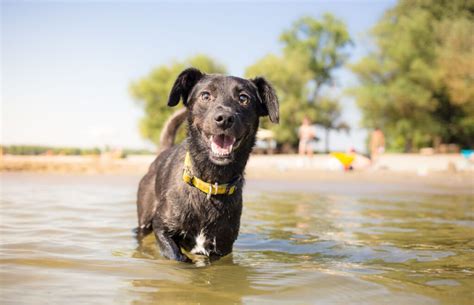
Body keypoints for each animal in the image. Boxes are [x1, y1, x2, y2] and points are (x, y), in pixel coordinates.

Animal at [136, 68, 278, 262]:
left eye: (244, 98)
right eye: (205, 95)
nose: (224, 118)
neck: (211, 183)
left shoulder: (222, 247)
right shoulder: (161, 227)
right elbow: (176, 256)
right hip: (144, 220)